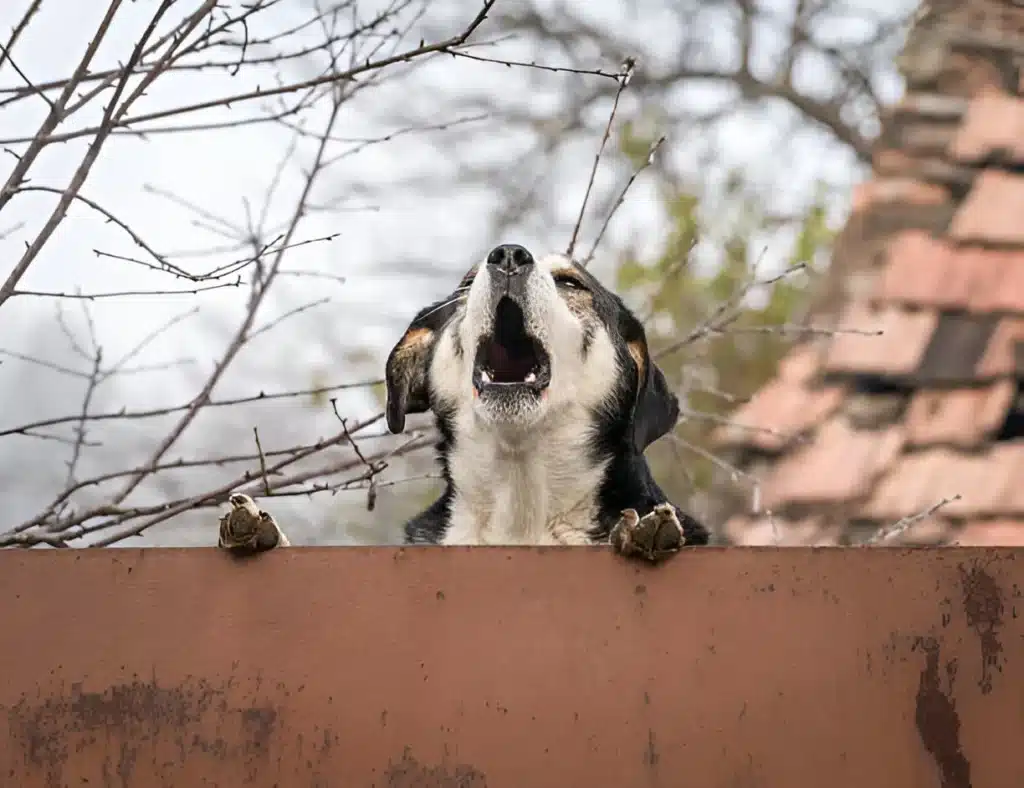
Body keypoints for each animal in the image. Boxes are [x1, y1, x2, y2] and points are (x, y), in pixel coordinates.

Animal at [219, 243, 708, 556]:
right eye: (468, 282)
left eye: (570, 283)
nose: (508, 255)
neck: (520, 500)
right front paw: (259, 535)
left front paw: (642, 538)